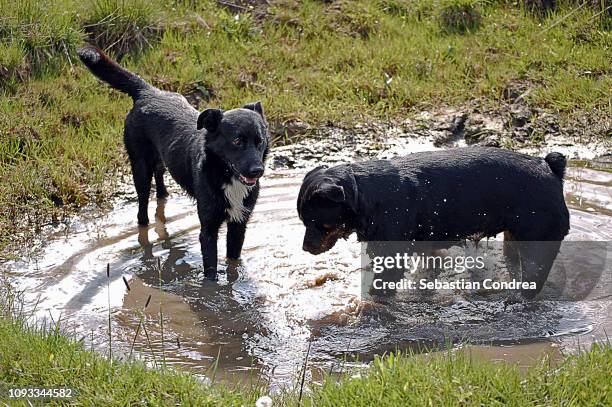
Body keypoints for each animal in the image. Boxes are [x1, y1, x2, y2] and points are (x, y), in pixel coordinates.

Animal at [77, 45, 268, 280]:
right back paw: (144, 223)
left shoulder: (239, 224)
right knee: (142, 207)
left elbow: (233, 262)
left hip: (160, 159)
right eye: (237, 141)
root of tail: (148, 91)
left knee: (159, 178)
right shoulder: (208, 229)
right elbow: (211, 272)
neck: (224, 174)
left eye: (260, 141)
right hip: (139, 167)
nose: (257, 170)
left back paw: (163, 196)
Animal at [298, 148, 572, 298]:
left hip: (540, 238)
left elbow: (382, 287)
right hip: (515, 237)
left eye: (316, 222)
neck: (365, 194)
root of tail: (550, 168)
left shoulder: (391, 253)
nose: (304, 247)